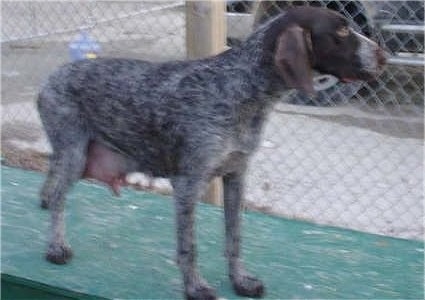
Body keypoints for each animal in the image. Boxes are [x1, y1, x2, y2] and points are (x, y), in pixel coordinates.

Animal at [39, 7, 384, 300]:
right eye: (342, 31)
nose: (384, 55)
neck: (243, 89)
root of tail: (53, 76)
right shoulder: (188, 184)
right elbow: (189, 247)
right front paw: (195, 287)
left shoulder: (236, 176)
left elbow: (234, 239)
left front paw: (240, 280)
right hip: (74, 154)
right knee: (57, 198)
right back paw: (56, 247)